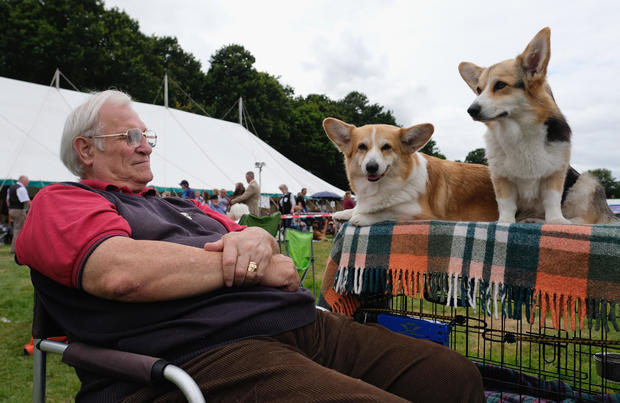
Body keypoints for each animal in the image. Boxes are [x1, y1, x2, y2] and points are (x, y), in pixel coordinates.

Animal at [322, 117, 496, 227]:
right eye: (362, 147)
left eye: (387, 147)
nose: (371, 167)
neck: (382, 187)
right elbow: (357, 208)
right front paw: (344, 213)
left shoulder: (422, 215)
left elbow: (390, 211)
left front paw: (362, 217)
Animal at [458, 27, 616, 226]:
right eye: (479, 90)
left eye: (500, 85)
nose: (471, 110)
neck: (518, 130)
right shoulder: (501, 178)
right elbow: (506, 204)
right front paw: (504, 222)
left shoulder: (555, 173)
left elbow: (552, 200)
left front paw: (557, 221)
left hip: (587, 182)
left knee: (587, 220)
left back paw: (562, 220)